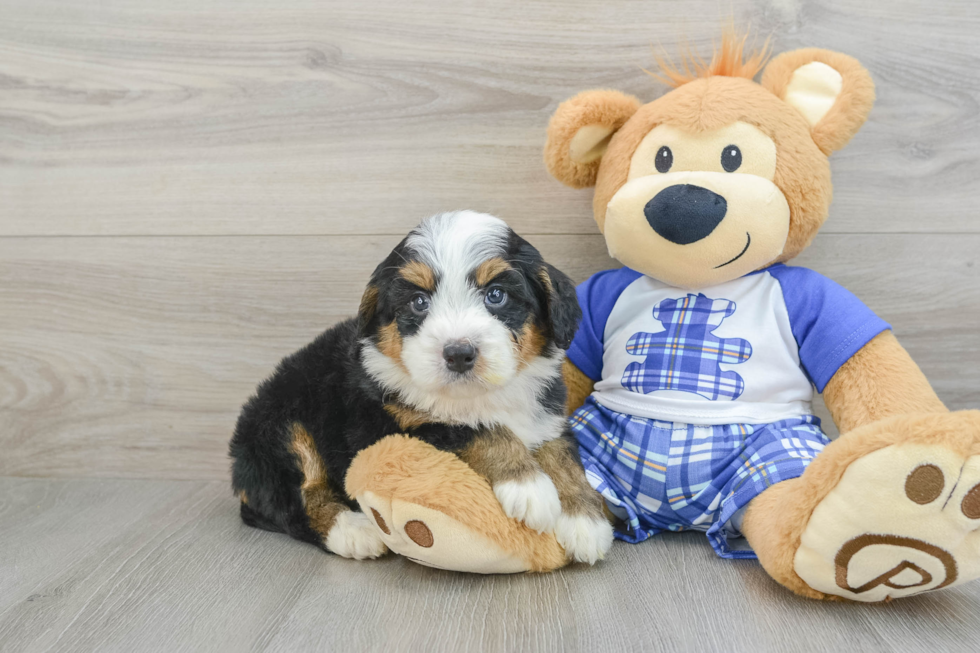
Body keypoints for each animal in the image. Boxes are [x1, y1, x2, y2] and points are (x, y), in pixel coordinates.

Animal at [230, 211, 612, 564]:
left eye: (496, 295)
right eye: (418, 302)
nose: (458, 354)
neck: (478, 395)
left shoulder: (548, 417)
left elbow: (562, 456)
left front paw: (584, 519)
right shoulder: (394, 424)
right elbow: (480, 429)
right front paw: (529, 486)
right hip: (278, 425)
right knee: (296, 499)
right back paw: (352, 531)